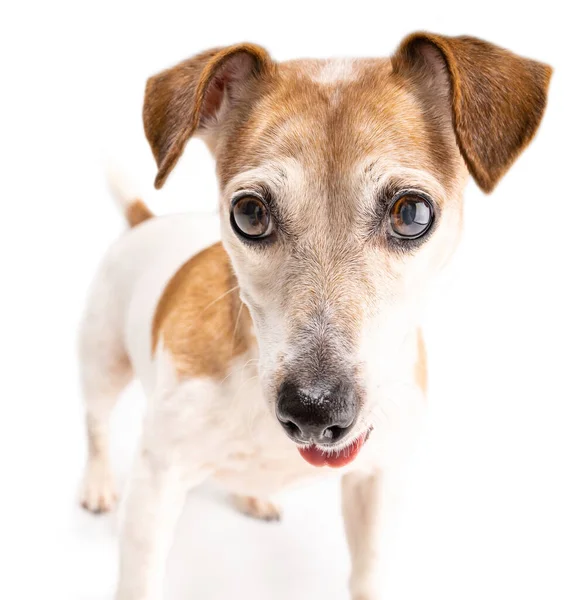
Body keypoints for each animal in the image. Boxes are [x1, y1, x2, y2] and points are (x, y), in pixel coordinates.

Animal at [79, 31, 552, 600]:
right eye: (249, 214)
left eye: (413, 214)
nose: (314, 411)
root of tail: (143, 221)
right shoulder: (156, 484)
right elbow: (142, 575)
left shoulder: (376, 483)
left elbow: (369, 573)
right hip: (102, 363)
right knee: (97, 425)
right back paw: (98, 485)